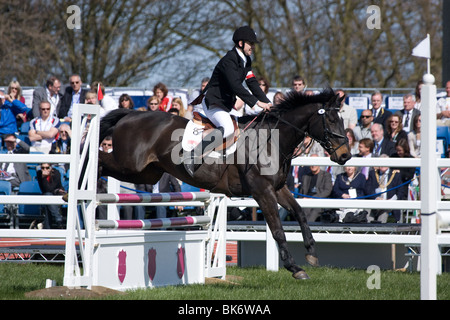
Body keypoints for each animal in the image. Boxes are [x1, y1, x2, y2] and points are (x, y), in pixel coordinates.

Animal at [98, 89, 352, 278]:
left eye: (342, 120)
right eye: (331, 120)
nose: (345, 156)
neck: (273, 141)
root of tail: (130, 115)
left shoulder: (278, 189)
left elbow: (299, 212)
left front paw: (311, 253)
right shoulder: (263, 192)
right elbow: (278, 230)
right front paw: (294, 267)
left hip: (146, 174)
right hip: (129, 165)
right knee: (101, 160)